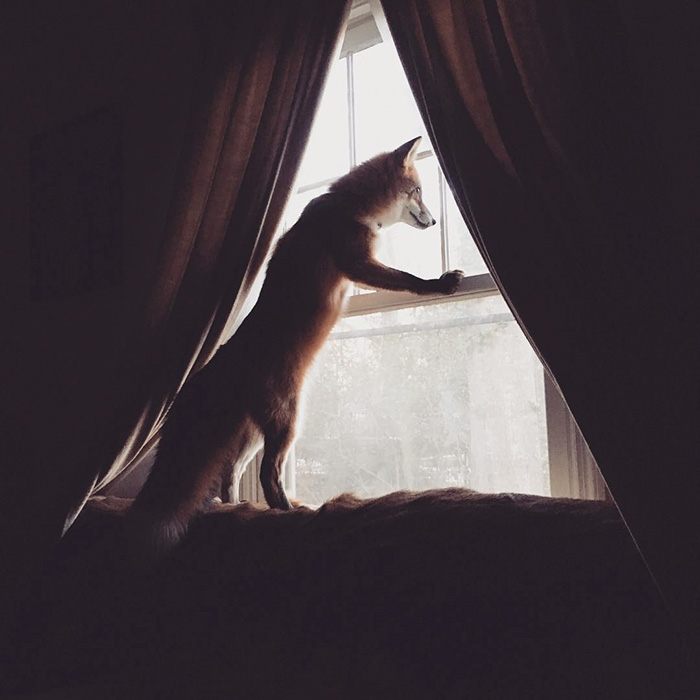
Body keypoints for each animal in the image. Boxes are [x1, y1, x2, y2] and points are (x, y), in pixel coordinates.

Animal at [127, 136, 464, 553]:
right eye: (418, 191)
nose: (433, 221)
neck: (348, 206)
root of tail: (223, 363)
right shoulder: (357, 263)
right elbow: (406, 279)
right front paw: (437, 283)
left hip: (255, 435)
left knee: (231, 474)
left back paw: (241, 508)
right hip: (288, 422)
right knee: (268, 475)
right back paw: (294, 512)